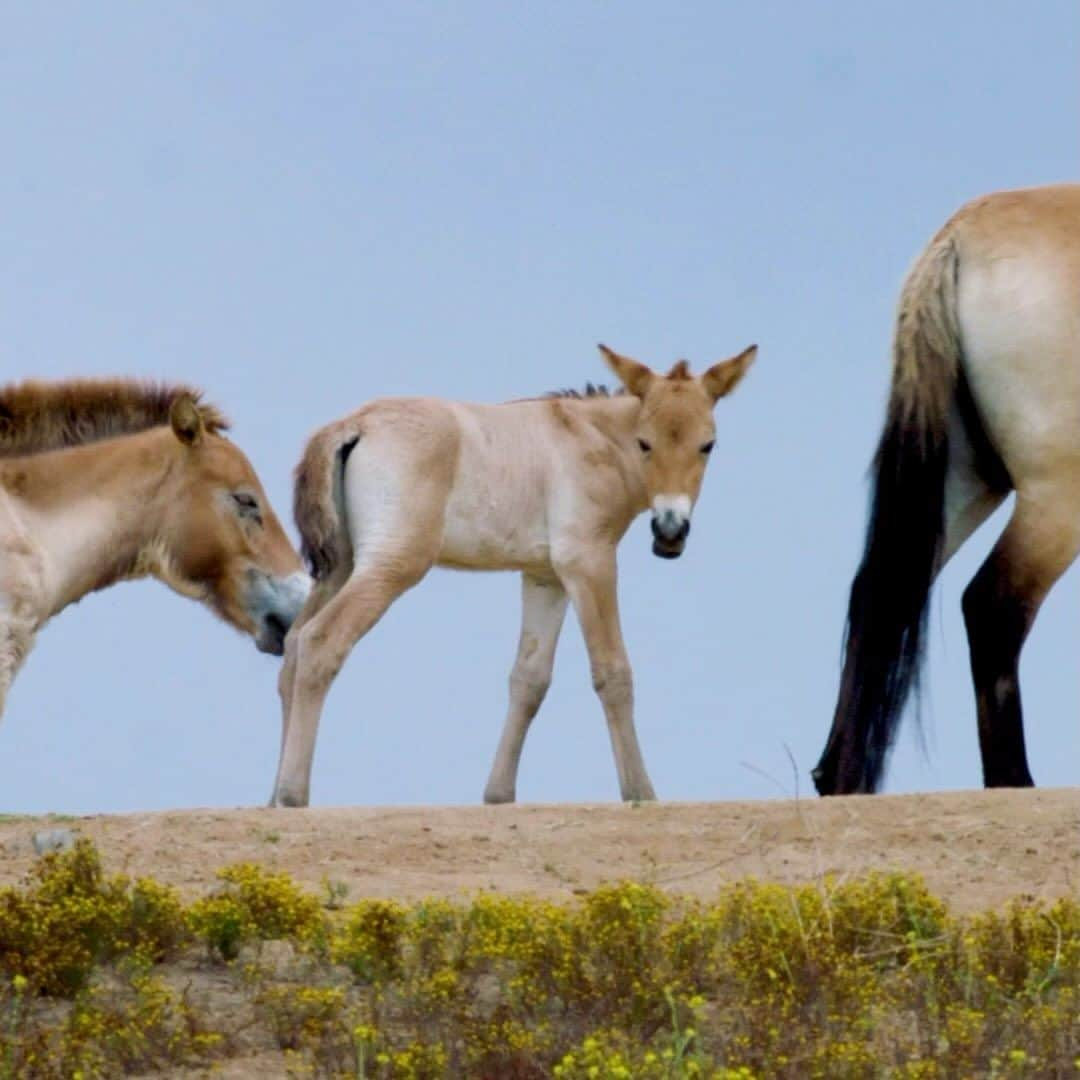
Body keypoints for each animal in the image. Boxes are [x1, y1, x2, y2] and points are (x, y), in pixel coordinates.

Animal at [270, 341, 760, 807]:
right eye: (644, 443)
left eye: (707, 445)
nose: (670, 531)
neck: (590, 437)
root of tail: (354, 424)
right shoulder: (589, 563)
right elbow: (612, 671)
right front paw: (641, 791)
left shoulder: (546, 579)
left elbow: (529, 680)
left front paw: (499, 794)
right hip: (390, 567)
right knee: (321, 641)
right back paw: (293, 794)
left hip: (340, 569)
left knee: (293, 648)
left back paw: (274, 796)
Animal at [812, 183, 1080, 794]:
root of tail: (958, 237)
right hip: (1055, 499)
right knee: (991, 606)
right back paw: (1013, 782)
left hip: (962, 483)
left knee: (881, 591)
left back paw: (838, 778)